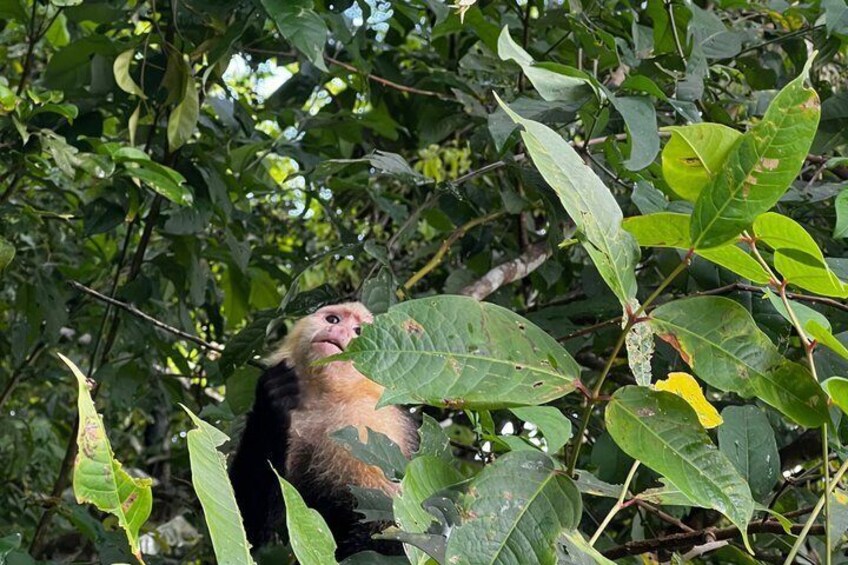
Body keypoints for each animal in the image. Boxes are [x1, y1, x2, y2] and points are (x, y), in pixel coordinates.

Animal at [229, 302, 419, 558]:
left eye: (359, 331)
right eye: (333, 319)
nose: (339, 330)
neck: (325, 398)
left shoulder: (371, 424)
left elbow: (386, 527)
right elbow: (246, 525)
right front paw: (272, 401)